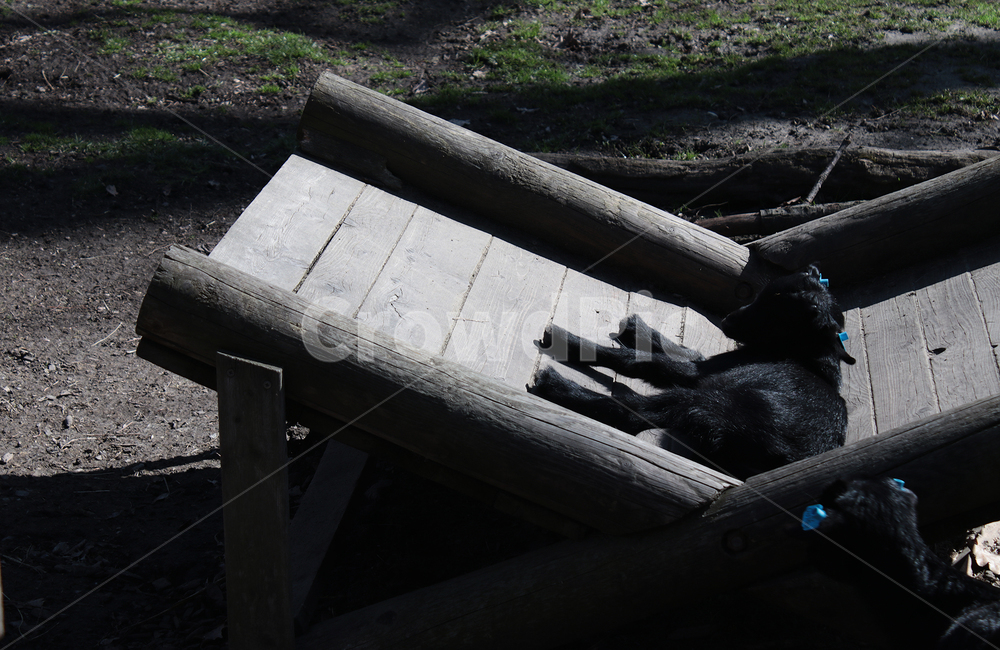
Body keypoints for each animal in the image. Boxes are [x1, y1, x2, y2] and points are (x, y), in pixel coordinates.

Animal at [529, 265, 855, 478]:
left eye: (776, 315)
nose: (727, 321)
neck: (806, 355)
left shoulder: (705, 374)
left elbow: (639, 362)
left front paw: (569, 342)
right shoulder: (707, 365)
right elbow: (683, 352)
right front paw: (634, 328)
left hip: (712, 402)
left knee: (632, 413)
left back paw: (556, 384)